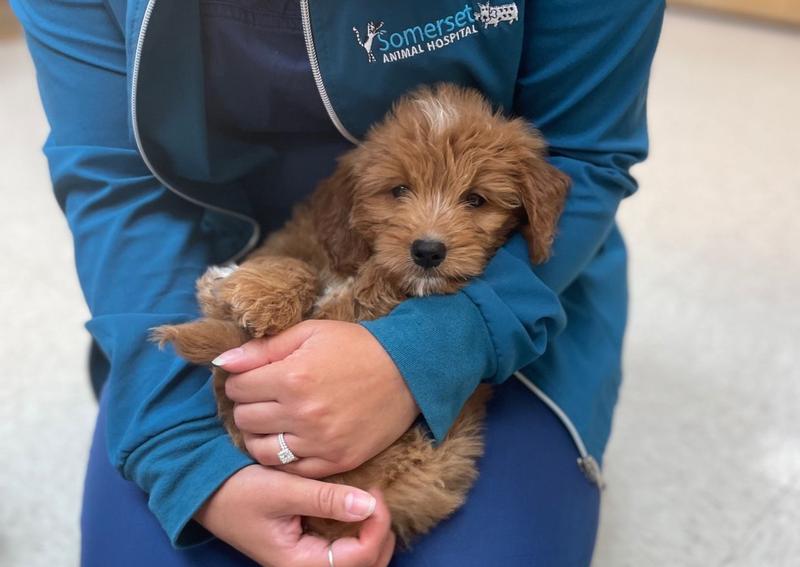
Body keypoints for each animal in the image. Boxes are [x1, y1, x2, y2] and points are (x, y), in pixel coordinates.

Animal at [153, 83, 568, 544]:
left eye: (475, 200)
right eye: (399, 190)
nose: (428, 251)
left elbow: (356, 297)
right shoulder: (301, 241)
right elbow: (297, 267)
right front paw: (257, 295)